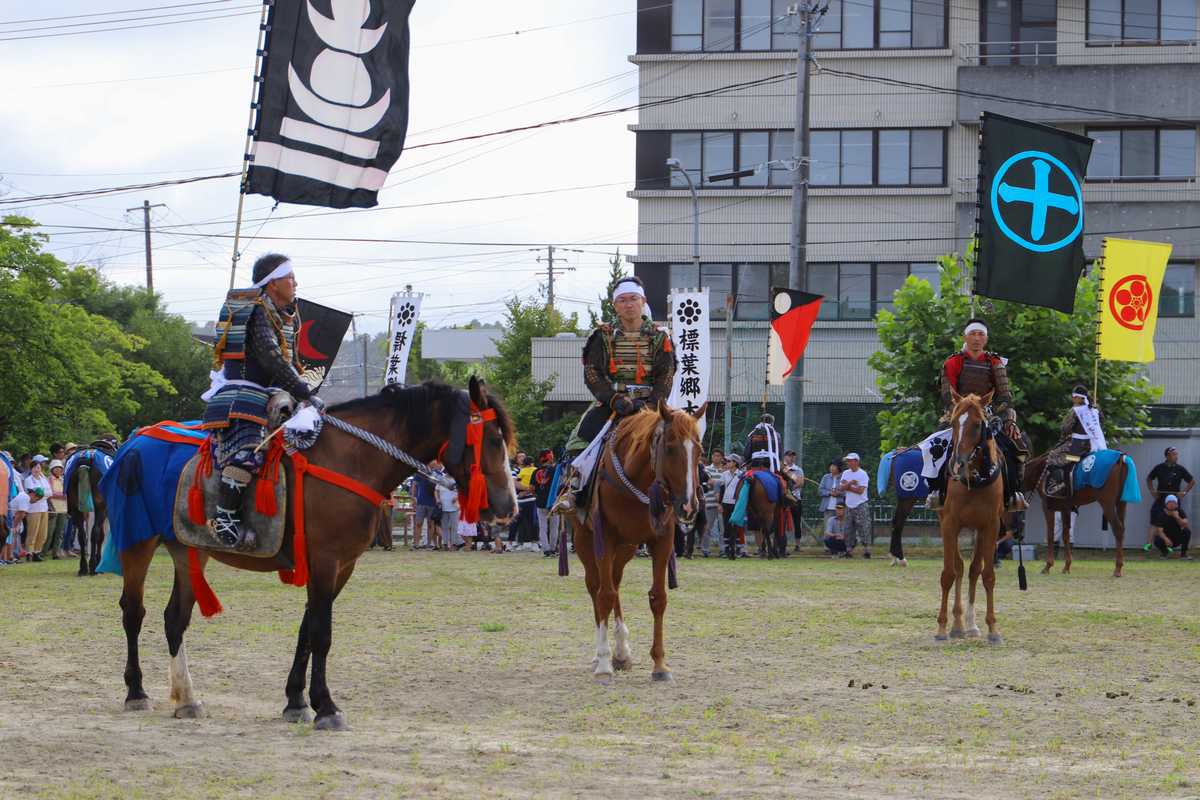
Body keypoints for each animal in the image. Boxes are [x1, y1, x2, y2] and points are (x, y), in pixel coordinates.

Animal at [113, 381, 520, 734]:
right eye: (494, 439)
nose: (508, 508)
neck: (353, 459)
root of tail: (135, 440)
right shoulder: (325, 560)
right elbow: (322, 634)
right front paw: (326, 706)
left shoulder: (341, 567)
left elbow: (307, 630)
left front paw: (296, 701)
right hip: (138, 542)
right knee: (133, 612)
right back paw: (136, 691)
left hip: (189, 549)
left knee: (175, 619)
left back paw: (186, 698)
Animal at [571, 402, 700, 686]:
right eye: (670, 447)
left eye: (699, 450)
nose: (688, 506)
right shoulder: (604, 536)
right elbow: (604, 596)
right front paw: (604, 664)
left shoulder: (662, 539)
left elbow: (658, 597)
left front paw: (660, 665)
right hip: (585, 540)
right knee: (596, 587)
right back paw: (602, 655)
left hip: (626, 547)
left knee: (615, 583)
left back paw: (621, 652)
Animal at [936, 391, 1003, 647]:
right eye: (954, 423)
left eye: (977, 425)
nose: (958, 463)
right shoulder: (949, 524)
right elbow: (948, 574)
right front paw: (942, 627)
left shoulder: (991, 526)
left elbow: (988, 575)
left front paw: (993, 628)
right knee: (959, 568)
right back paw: (957, 625)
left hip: (978, 531)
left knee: (973, 570)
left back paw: (971, 625)